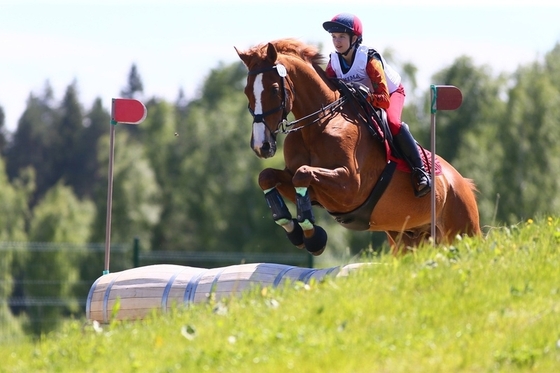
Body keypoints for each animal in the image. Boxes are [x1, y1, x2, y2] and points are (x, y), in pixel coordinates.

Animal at [234, 39, 480, 258]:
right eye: (246, 91)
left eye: (275, 90)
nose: (261, 146)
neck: (318, 125)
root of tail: (461, 182)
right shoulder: (309, 188)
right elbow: (267, 177)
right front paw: (295, 231)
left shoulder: (350, 185)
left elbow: (302, 175)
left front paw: (313, 238)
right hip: (407, 239)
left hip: (463, 230)